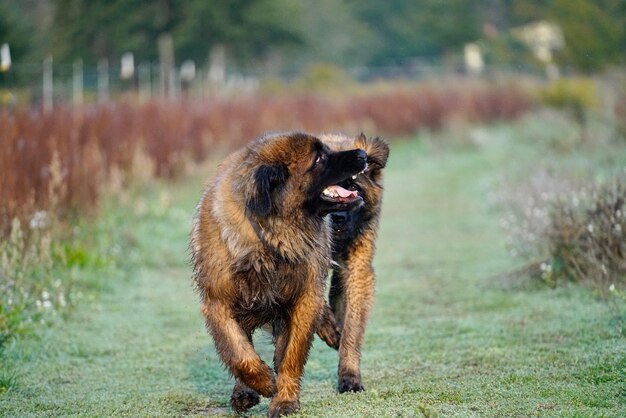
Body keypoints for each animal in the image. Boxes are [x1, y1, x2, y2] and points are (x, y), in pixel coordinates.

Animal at [189, 132, 366, 416]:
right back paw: (244, 392)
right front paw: (262, 382)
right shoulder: (218, 304)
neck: (269, 236)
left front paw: (284, 400)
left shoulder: (302, 300)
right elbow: (238, 353)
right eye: (319, 158)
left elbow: (290, 357)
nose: (361, 154)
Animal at [314, 135, 388, 396]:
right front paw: (330, 330)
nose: (337, 219)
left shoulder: (357, 271)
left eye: (353, 188)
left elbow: (352, 330)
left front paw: (349, 376)